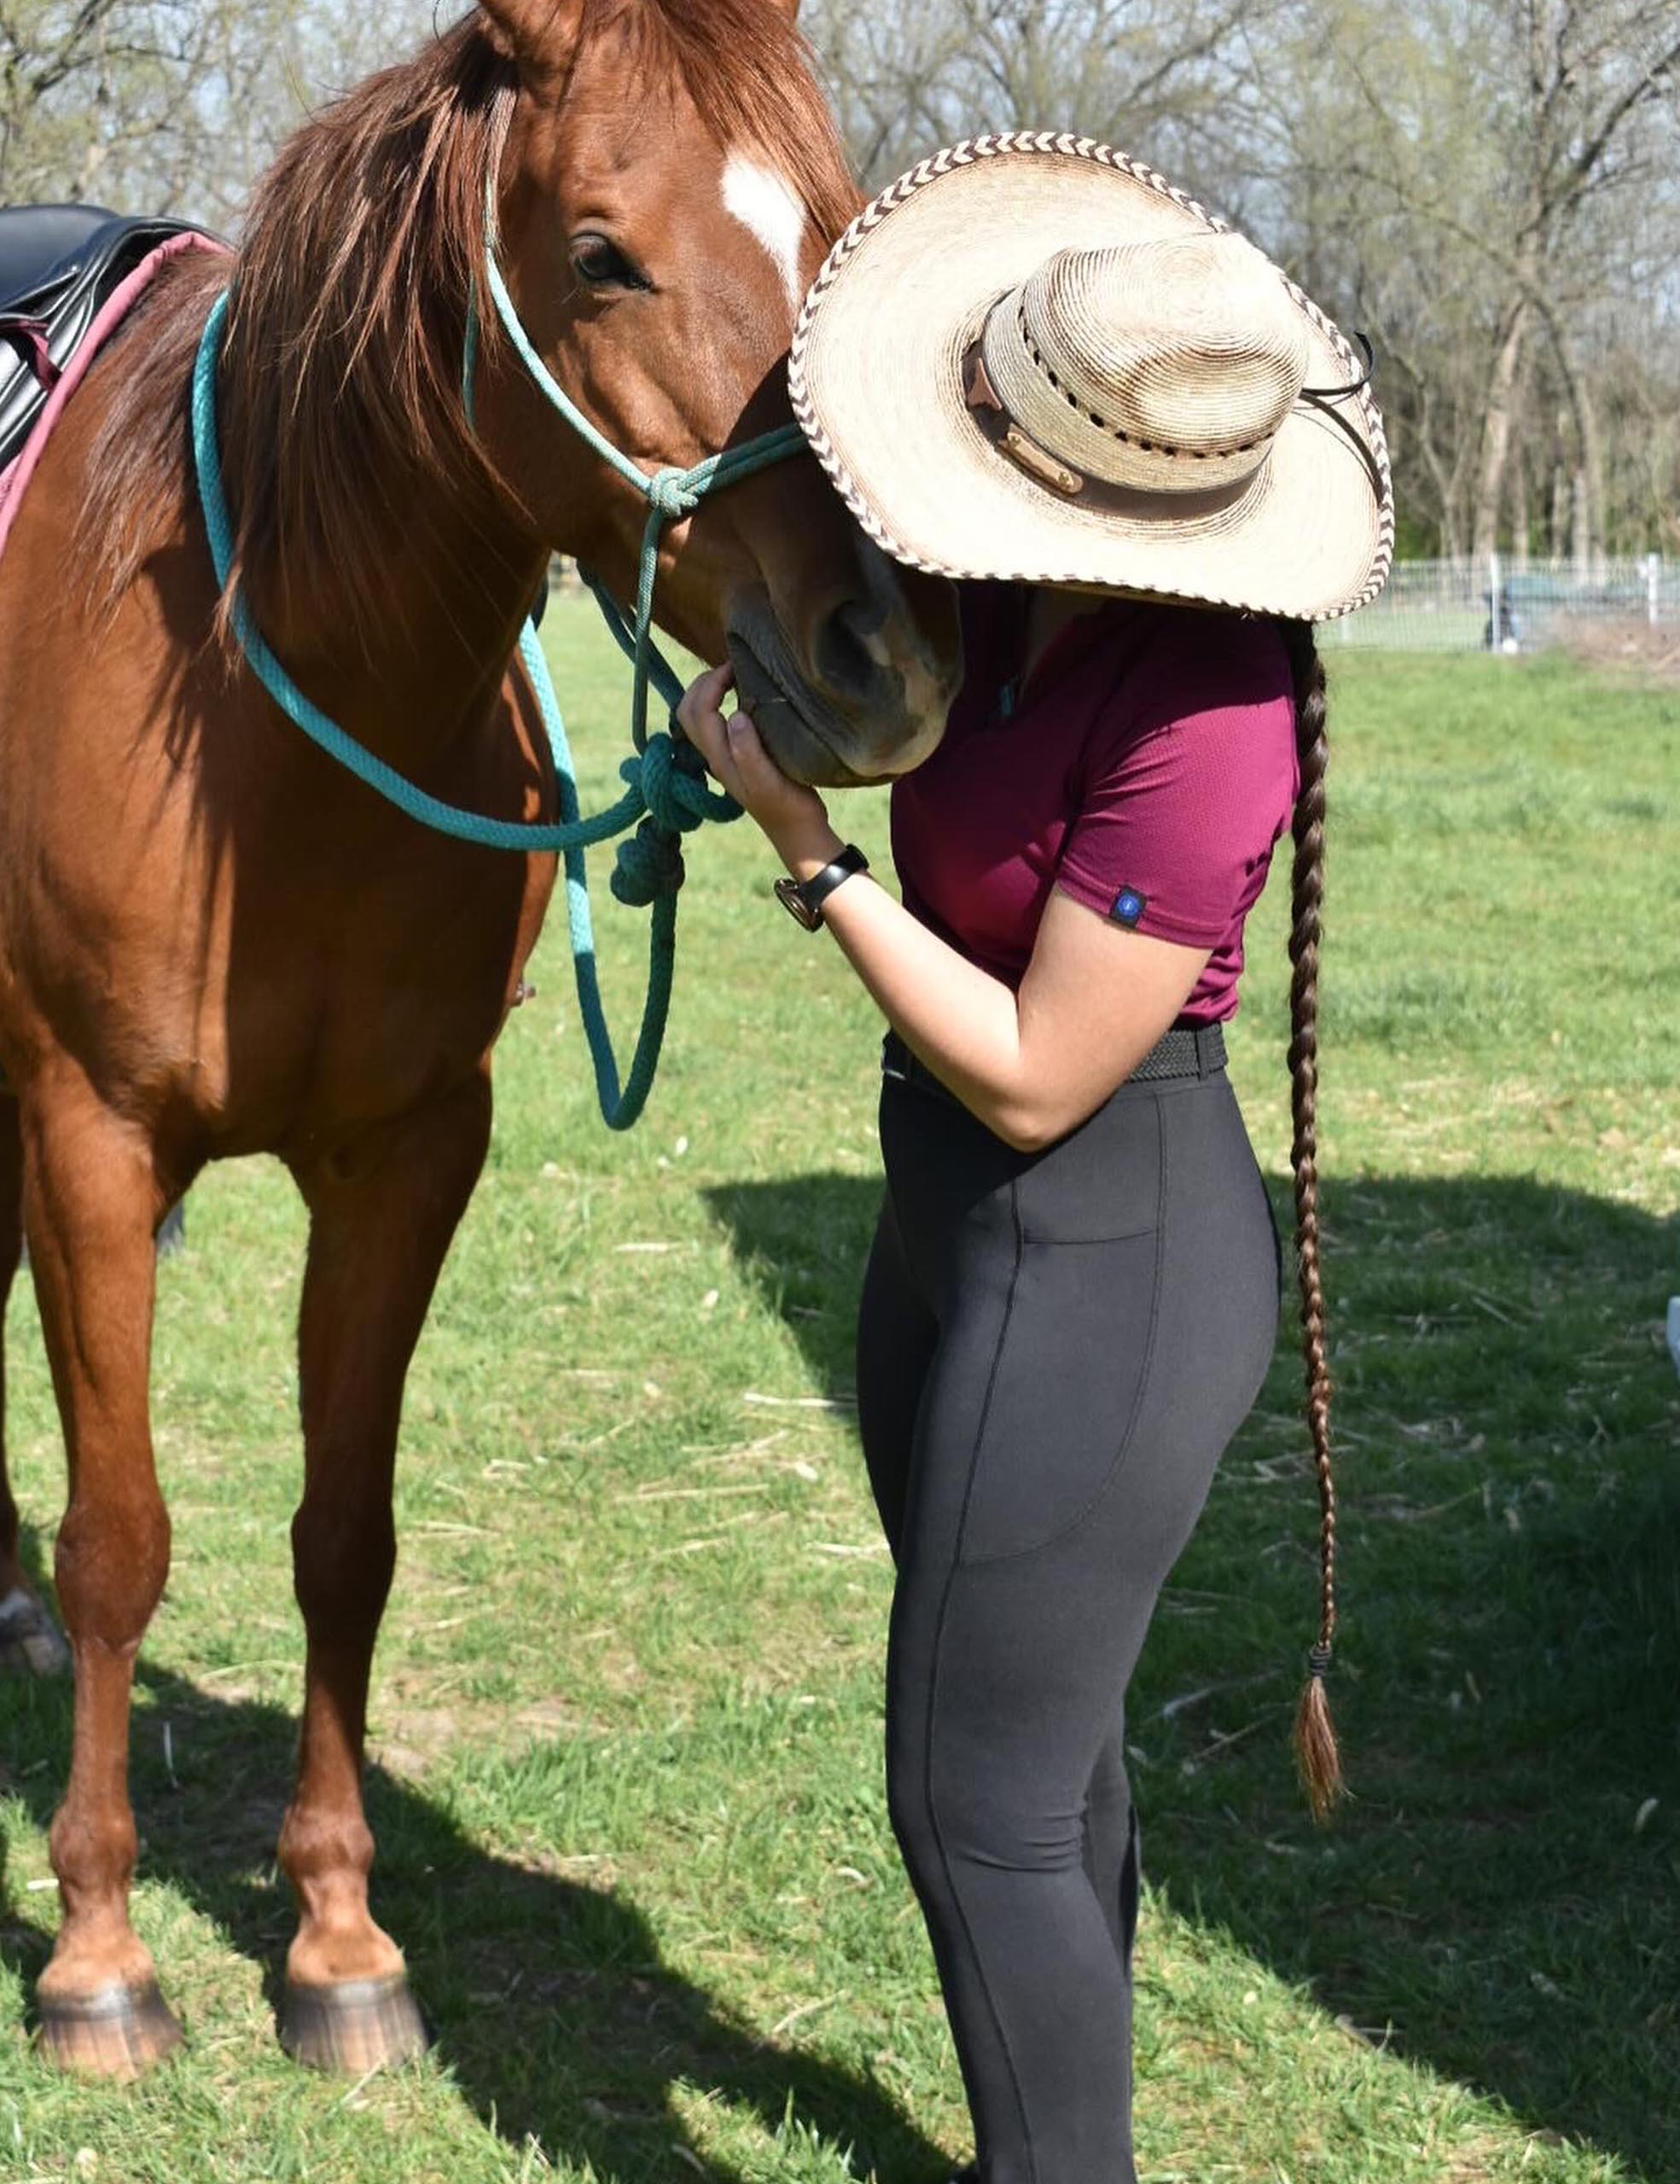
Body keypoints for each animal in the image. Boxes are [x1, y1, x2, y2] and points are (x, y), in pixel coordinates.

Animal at [0, 0, 956, 2079]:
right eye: (599, 255)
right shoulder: (91, 1135)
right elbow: (120, 1539)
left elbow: (344, 1537)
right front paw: (98, 1954)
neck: (267, 696)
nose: (882, 655)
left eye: (833, 220)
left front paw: (338, 1939)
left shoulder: (410, 1150)